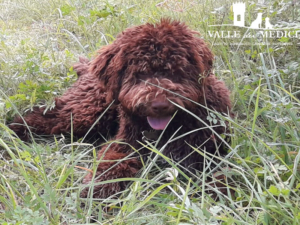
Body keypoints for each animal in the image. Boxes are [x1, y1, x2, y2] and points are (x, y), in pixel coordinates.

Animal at [8, 19, 232, 199]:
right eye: (140, 73)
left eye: (176, 71)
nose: (159, 105)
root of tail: (89, 68)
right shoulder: (125, 144)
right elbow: (110, 164)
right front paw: (96, 192)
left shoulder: (210, 150)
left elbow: (223, 175)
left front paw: (221, 194)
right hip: (85, 112)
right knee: (44, 116)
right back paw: (11, 134)